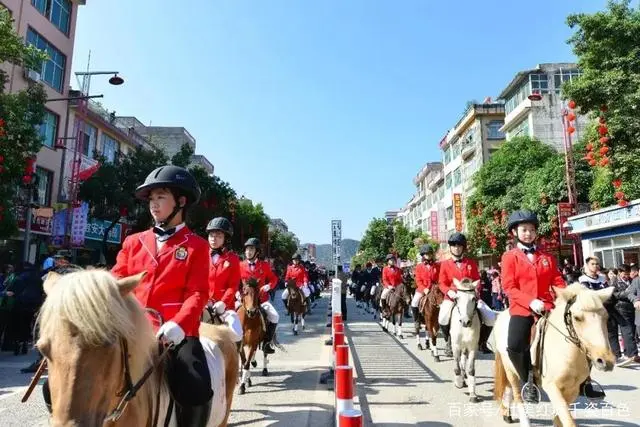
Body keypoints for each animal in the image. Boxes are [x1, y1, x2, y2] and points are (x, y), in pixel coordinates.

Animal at [492, 282, 612, 426]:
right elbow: (568, 421)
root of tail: (502, 315)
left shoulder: (573, 389)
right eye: (577, 318)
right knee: (516, 393)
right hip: (510, 367)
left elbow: (559, 418)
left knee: (508, 387)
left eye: (606, 317)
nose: (605, 361)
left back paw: (507, 413)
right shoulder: (552, 387)